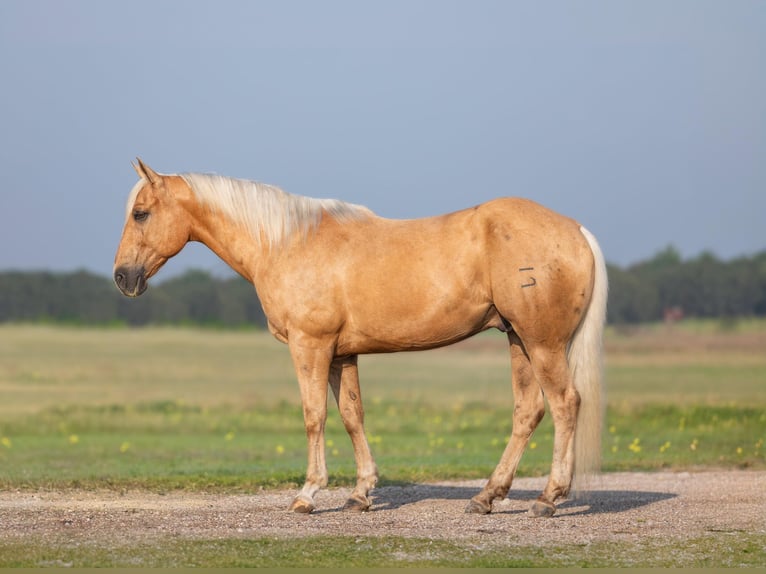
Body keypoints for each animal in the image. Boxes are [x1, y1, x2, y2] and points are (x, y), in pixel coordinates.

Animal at [114, 159, 607, 517]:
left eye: (141, 213)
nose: (122, 277)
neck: (287, 243)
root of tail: (575, 229)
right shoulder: (341, 354)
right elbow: (352, 416)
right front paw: (360, 493)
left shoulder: (310, 346)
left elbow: (314, 416)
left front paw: (308, 494)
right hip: (518, 340)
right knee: (529, 411)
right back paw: (487, 496)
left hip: (542, 344)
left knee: (565, 404)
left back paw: (547, 498)